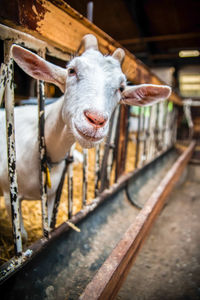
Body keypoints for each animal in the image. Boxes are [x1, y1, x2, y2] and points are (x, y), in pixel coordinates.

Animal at [0, 34, 172, 238]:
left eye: (121, 87)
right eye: (71, 71)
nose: (96, 120)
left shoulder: (51, 197)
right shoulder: (10, 196)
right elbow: (23, 235)